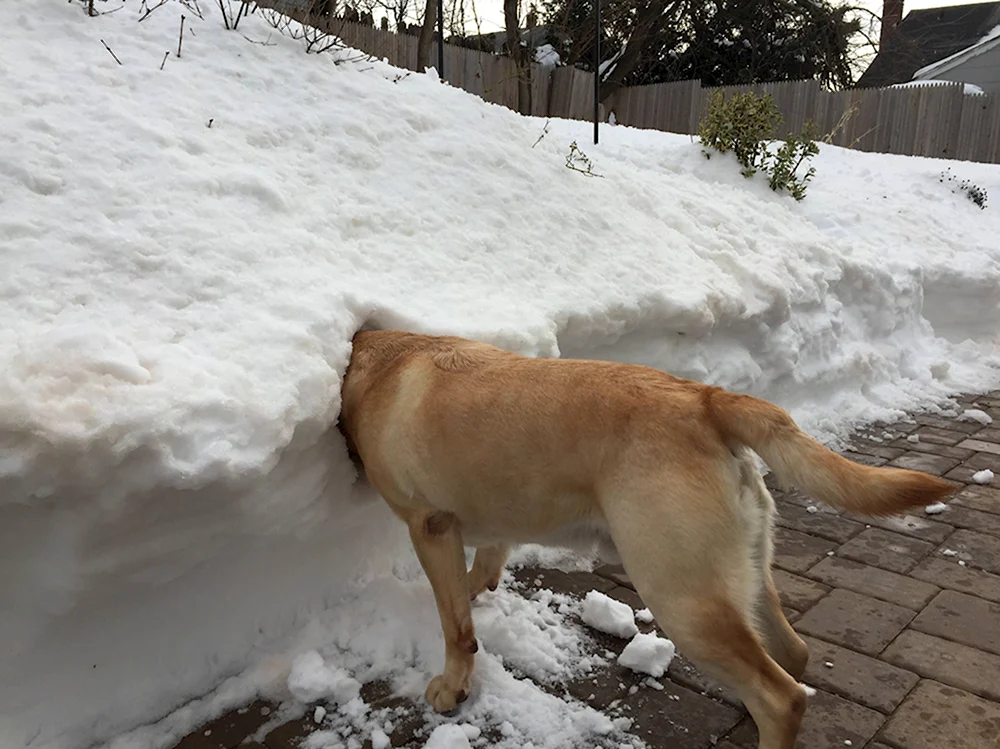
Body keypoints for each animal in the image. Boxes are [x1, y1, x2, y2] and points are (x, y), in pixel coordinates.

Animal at [340, 328, 956, 748]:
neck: (376, 362)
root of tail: (706, 399)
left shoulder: (429, 525)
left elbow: (456, 626)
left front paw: (452, 686)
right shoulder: (490, 526)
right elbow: (483, 572)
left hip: (680, 595)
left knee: (782, 697)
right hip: (741, 573)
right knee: (793, 656)